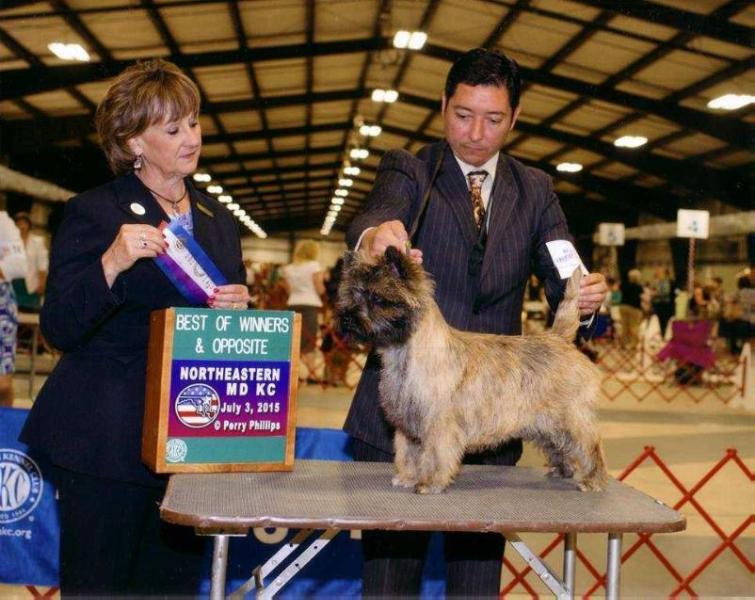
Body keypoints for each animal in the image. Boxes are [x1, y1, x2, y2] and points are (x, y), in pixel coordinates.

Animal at [336, 246, 608, 494]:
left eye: (377, 298)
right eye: (351, 294)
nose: (345, 318)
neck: (405, 352)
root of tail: (558, 338)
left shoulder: (439, 424)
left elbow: (434, 455)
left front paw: (430, 482)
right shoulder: (408, 424)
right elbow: (408, 454)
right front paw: (407, 477)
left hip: (570, 415)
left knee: (589, 445)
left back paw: (593, 480)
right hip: (545, 421)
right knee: (561, 444)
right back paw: (563, 470)